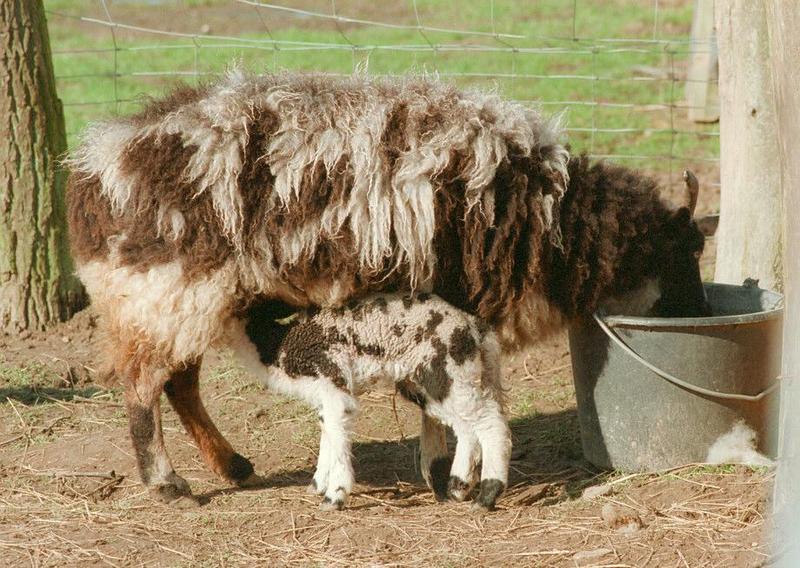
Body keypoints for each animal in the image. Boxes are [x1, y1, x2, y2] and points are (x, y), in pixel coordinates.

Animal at [234, 292, 512, 510]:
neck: (281, 343)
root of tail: (475, 327)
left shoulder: (332, 379)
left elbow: (337, 435)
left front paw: (334, 497)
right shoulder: (324, 394)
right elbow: (327, 432)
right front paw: (317, 484)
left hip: (446, 369)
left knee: (489, 422)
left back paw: (487, 495)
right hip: (432, 382)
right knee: (466, 426)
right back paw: (457, 487)